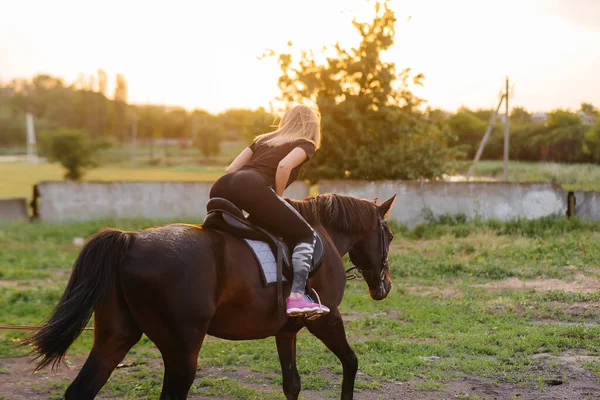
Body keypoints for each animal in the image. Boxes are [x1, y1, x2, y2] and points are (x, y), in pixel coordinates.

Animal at [24, 193, 398, 396]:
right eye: (390, 236)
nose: (385, 287)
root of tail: (131, 239)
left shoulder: (286, 331)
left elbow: (292, 383)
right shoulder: (326, 319)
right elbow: (351, 362)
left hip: (115, 337)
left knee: (81, 389)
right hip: (182, 351)